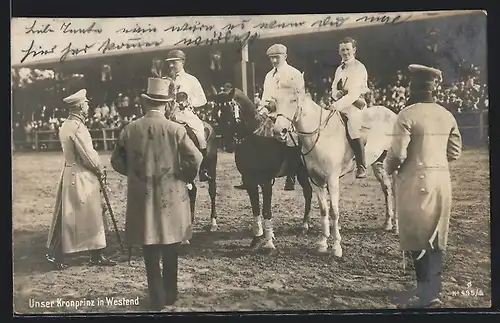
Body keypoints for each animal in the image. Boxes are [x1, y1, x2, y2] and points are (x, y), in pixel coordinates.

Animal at [215, 88, 312, 253]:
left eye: (229, 110)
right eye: (216, 112)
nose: (227, 145)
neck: (255, 138)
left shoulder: (266, 182)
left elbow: (266, 210)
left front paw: (269, 243)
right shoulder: (249, 182)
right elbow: (255, 209)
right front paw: (257, 239)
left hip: (305, 172)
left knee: (309, 193)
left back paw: (305, 226)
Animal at [274, 93, 398, 258]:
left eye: (293, 101)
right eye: (276, 101)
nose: (278, 131)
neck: (320, 137)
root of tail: (393, 113)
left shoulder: (332, 180)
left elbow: (334, 211)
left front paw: (336, 247)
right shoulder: (316, 181)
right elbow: (323, 209)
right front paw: (322, 243)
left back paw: (397, 227)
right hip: (379, 164)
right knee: (387, 189)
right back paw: (388, 223)